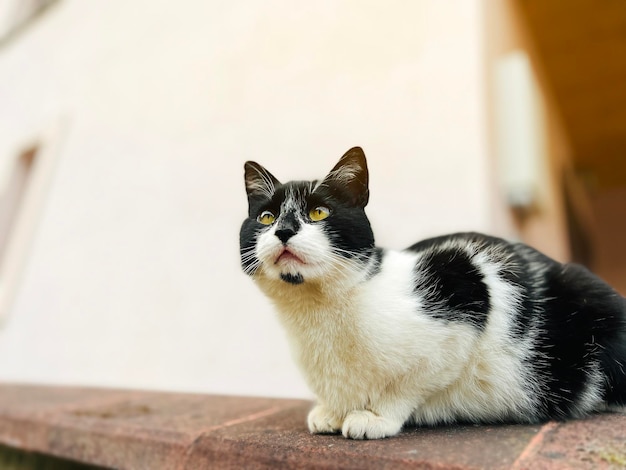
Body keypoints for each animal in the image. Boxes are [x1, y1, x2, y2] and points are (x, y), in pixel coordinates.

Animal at [239, 148, 624, 440]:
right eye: (266, 217)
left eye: (319, 212)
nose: (284, 230)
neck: (318, 310)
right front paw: (332, 411)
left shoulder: (464, 286)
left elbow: (409, 384)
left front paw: (374, 416)